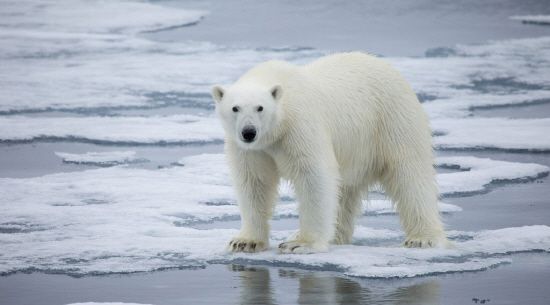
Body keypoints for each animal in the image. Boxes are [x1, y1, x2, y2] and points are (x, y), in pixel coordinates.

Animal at [211, 51, 448, 252]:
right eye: (235, 108)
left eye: (260, 108)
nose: (248, 132)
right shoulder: (251, 149)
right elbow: (254, 182)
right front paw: (245, 242)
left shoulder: (300, 126)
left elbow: (314, 177)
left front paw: (300, 243)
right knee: (344, 192)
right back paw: (335, 236)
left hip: (392, 120)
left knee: (410, 175)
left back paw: (422, 238)